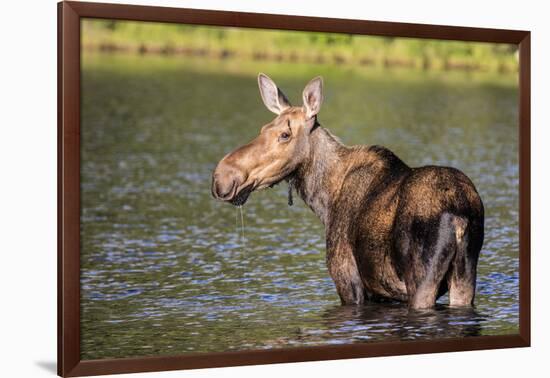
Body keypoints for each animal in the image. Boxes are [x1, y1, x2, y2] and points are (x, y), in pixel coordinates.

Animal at [213, 74, 486, 310]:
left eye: (285, 134)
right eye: (263, 128)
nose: (222, 176)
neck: (324, 200)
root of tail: (460, 217)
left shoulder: (347, 280)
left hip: (422, 281)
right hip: (464, 278)